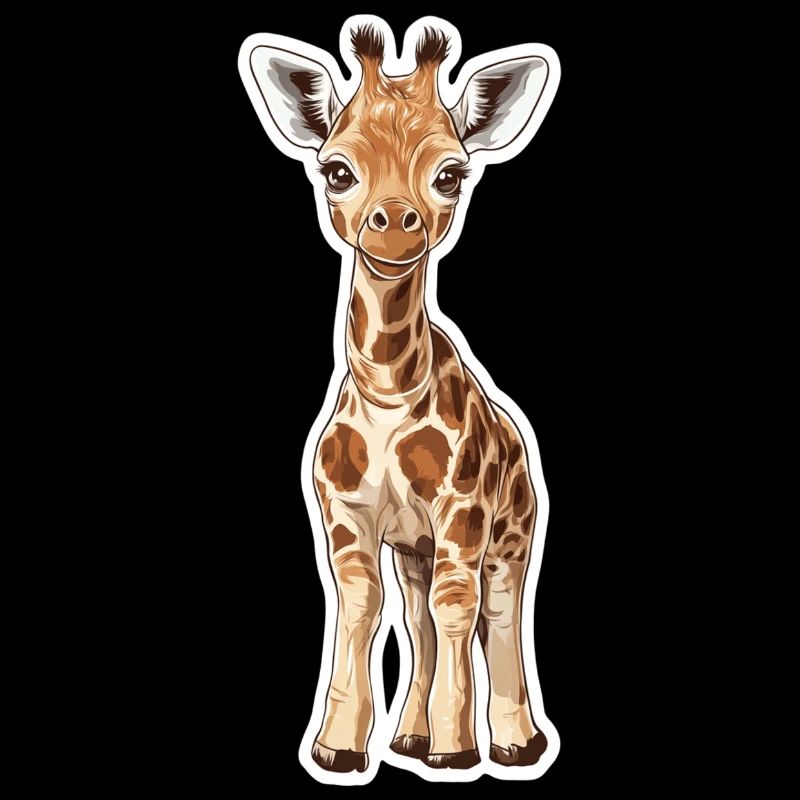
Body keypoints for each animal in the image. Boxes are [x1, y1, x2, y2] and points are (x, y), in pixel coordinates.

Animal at [241, 15, 559, 780]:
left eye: (451, 174)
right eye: (336, 170)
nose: (394, 221)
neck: (389, 395)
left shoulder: (462, 514)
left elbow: (457, 609)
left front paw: (458, 751)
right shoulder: (348, 518)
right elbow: (362, 611)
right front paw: (338, 748)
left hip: (512, 530)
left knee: (496, 611)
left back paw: (515, 743)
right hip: (415, 545)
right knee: (417, 617)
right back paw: (411, 740)